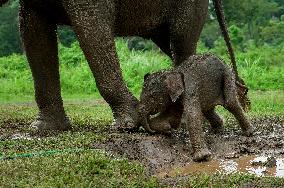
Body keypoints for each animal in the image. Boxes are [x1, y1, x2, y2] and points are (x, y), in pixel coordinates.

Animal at [0, 0, 237, 131]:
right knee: (170, 44)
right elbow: (34, 33)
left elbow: (92, 29)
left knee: (181, 42)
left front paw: (128, 125)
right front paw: (44, 128)